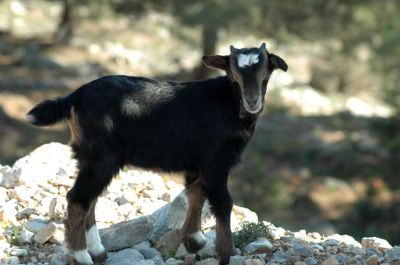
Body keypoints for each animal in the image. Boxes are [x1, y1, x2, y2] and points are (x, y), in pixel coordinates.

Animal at [26, 42, 288, 262]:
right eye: (233, 75)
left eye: (265, 71)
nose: (252, 101)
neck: (229, 105)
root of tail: (73, 98)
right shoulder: (216, 161)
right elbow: (223, 202)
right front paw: (226, 252)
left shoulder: (197, 164)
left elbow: (196, 193)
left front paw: (194, 240)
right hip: (101, 157)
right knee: (78, 198)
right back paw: (82, 256)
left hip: (92, 159)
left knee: (90, 198)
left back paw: (97, 250)